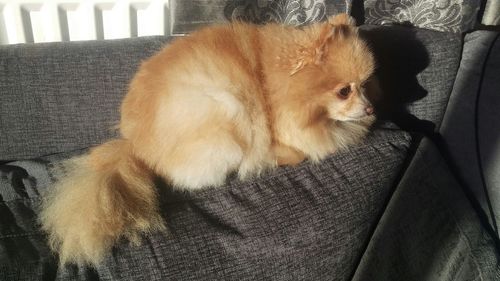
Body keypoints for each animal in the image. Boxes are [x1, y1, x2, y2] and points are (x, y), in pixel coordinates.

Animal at [40, 13, 376, 266]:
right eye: (343, 91)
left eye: (364, 86)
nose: (371, 108)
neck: (274, 87)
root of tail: (134, 147)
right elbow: (298, 152)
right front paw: (275, 158)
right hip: (227, 109)